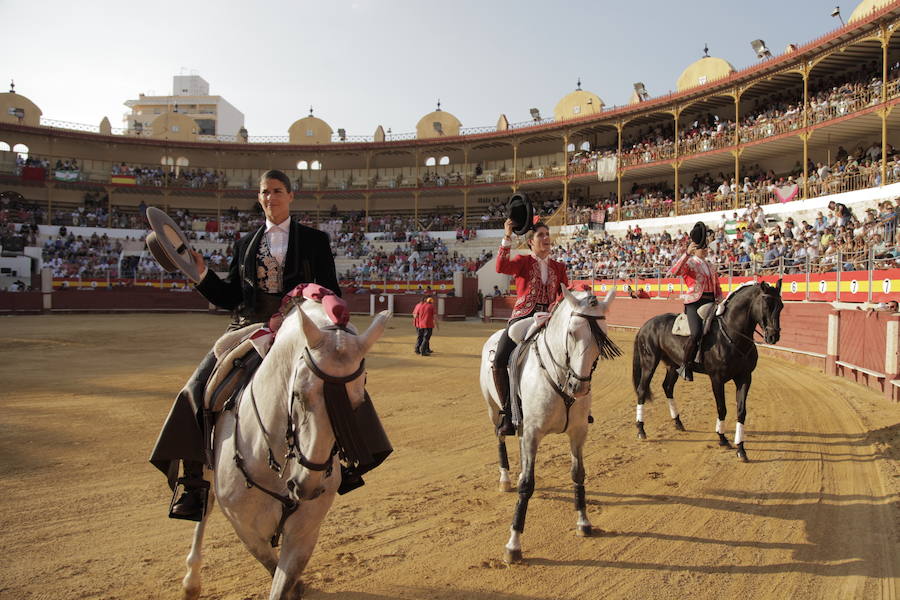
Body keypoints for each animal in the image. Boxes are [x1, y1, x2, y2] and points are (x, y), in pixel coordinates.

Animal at [182, 304, 390, 600]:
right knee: (204, 504)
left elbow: (282, 582)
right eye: (300, 394)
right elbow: (267, 560)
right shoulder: (244, 526)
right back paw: (191, 581)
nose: (307, 486)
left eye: (357, 403)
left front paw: (296, 587)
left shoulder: (304, 533)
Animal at [478, 286, 620, 564]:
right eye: (572, 332)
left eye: (603, 336)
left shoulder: (578, 432)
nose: (579, 387)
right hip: (492, 408)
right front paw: (513, 545)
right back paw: (505, 478)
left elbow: (578, 474)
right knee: (500, 437)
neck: (560, 375)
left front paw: (583, 523)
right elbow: (527, 485)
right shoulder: (534, 432)